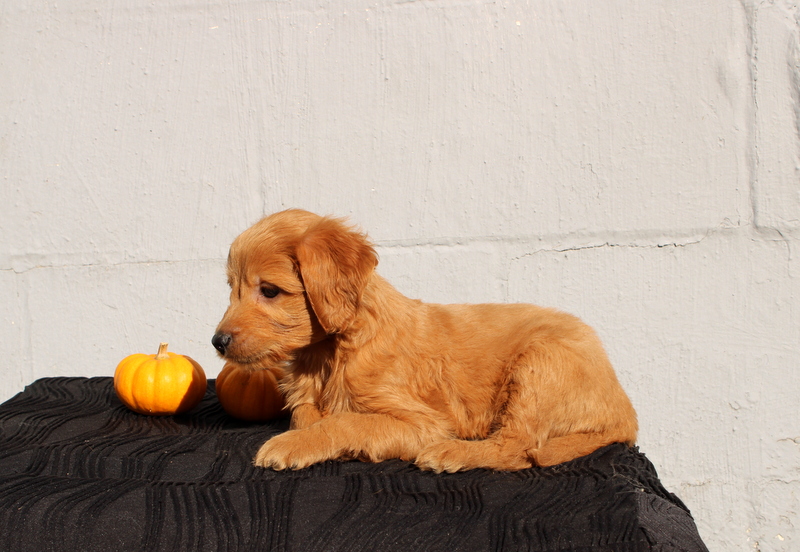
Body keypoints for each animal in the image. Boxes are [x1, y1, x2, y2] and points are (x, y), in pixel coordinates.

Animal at [214, 209, 636, 472]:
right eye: (232, 288)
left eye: (269, 291)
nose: (217, 341)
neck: (329, 355)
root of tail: (625, 410)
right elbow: (305, 415)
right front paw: (305, 433)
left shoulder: (424, 422)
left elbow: (346, 422)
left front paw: (292, 444)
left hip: (539, 365)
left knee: (517, 448)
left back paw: (452, 453)